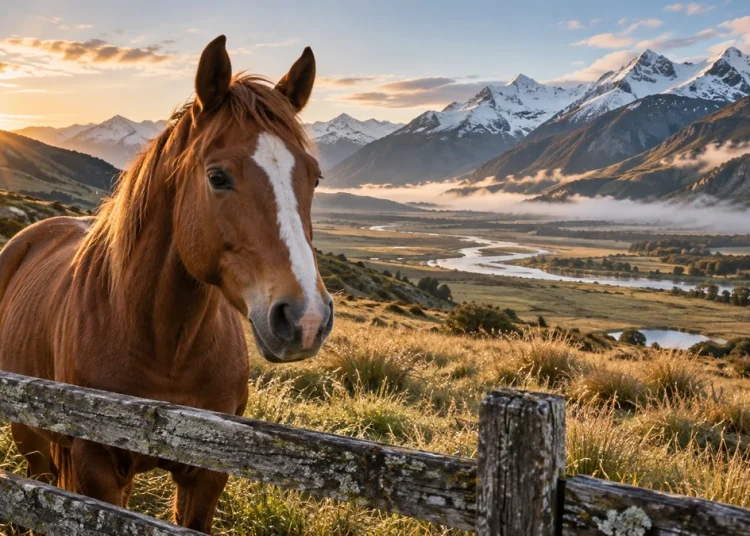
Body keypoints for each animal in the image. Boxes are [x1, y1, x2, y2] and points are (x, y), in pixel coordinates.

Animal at [0, 35, 333, 534]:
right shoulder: (94, 462)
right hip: (31, 436)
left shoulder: (209, 470)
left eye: (314, 177)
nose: (305, 318)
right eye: (217, 176)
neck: (166, 345)